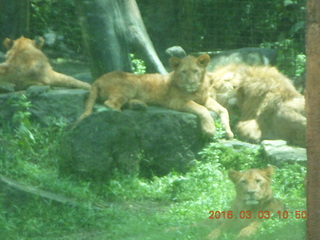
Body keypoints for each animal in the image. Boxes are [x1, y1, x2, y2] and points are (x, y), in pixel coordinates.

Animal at [77, 53, 232, 138]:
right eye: (183, 72)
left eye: (195, 71)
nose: (191, 82)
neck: (196, 90)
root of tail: (98, 80)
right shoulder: (177, 101)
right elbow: (202, 110)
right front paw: (209, 130)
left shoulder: (205, 98)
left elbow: (224, 109)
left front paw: (228, 132)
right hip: (130, 83)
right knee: (110, 103)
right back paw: (121, 115)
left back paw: (138, 105)